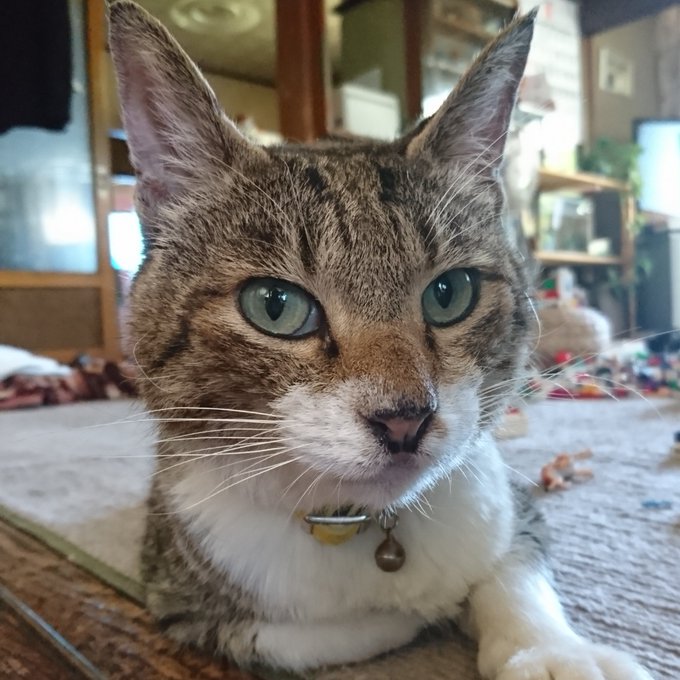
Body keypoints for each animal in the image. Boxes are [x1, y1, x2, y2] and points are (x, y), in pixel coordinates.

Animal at [109, 2, 653, 678]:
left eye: (449, 293)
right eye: (274, 306)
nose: (405, 420)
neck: (367, 523)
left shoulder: (510, 502)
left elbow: (512, 574)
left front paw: (552, 652)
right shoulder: (181, 596)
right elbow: (316, 634)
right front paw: (417, 613)